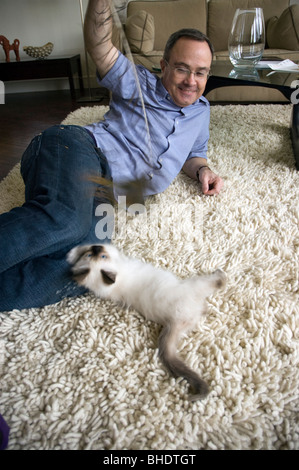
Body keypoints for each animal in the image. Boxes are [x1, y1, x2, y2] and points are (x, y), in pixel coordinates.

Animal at [67, 242, 227, 400]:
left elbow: (78, 251)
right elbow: (84, 246)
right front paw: (73, 252)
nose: (96, 248)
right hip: (196, 285)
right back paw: (220, 275)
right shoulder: (115, 252)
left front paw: (70, 255)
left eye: (97, 255)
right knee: (216, 284)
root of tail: (173, 320)